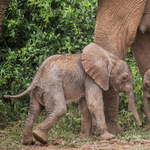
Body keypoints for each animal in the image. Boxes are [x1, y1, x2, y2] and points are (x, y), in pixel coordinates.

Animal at [3, 42, 142, 145]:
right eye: (124, 78)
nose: (140, 125)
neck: (108, 56)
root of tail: (36, 79)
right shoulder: (90, 78)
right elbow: (94, 103)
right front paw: (109, 137)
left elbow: (85, 106)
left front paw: (87, 137)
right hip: (52, 86)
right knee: (60, 109)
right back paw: (40, 138)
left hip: (39, 90)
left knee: (33, 111)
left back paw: (28, 142)